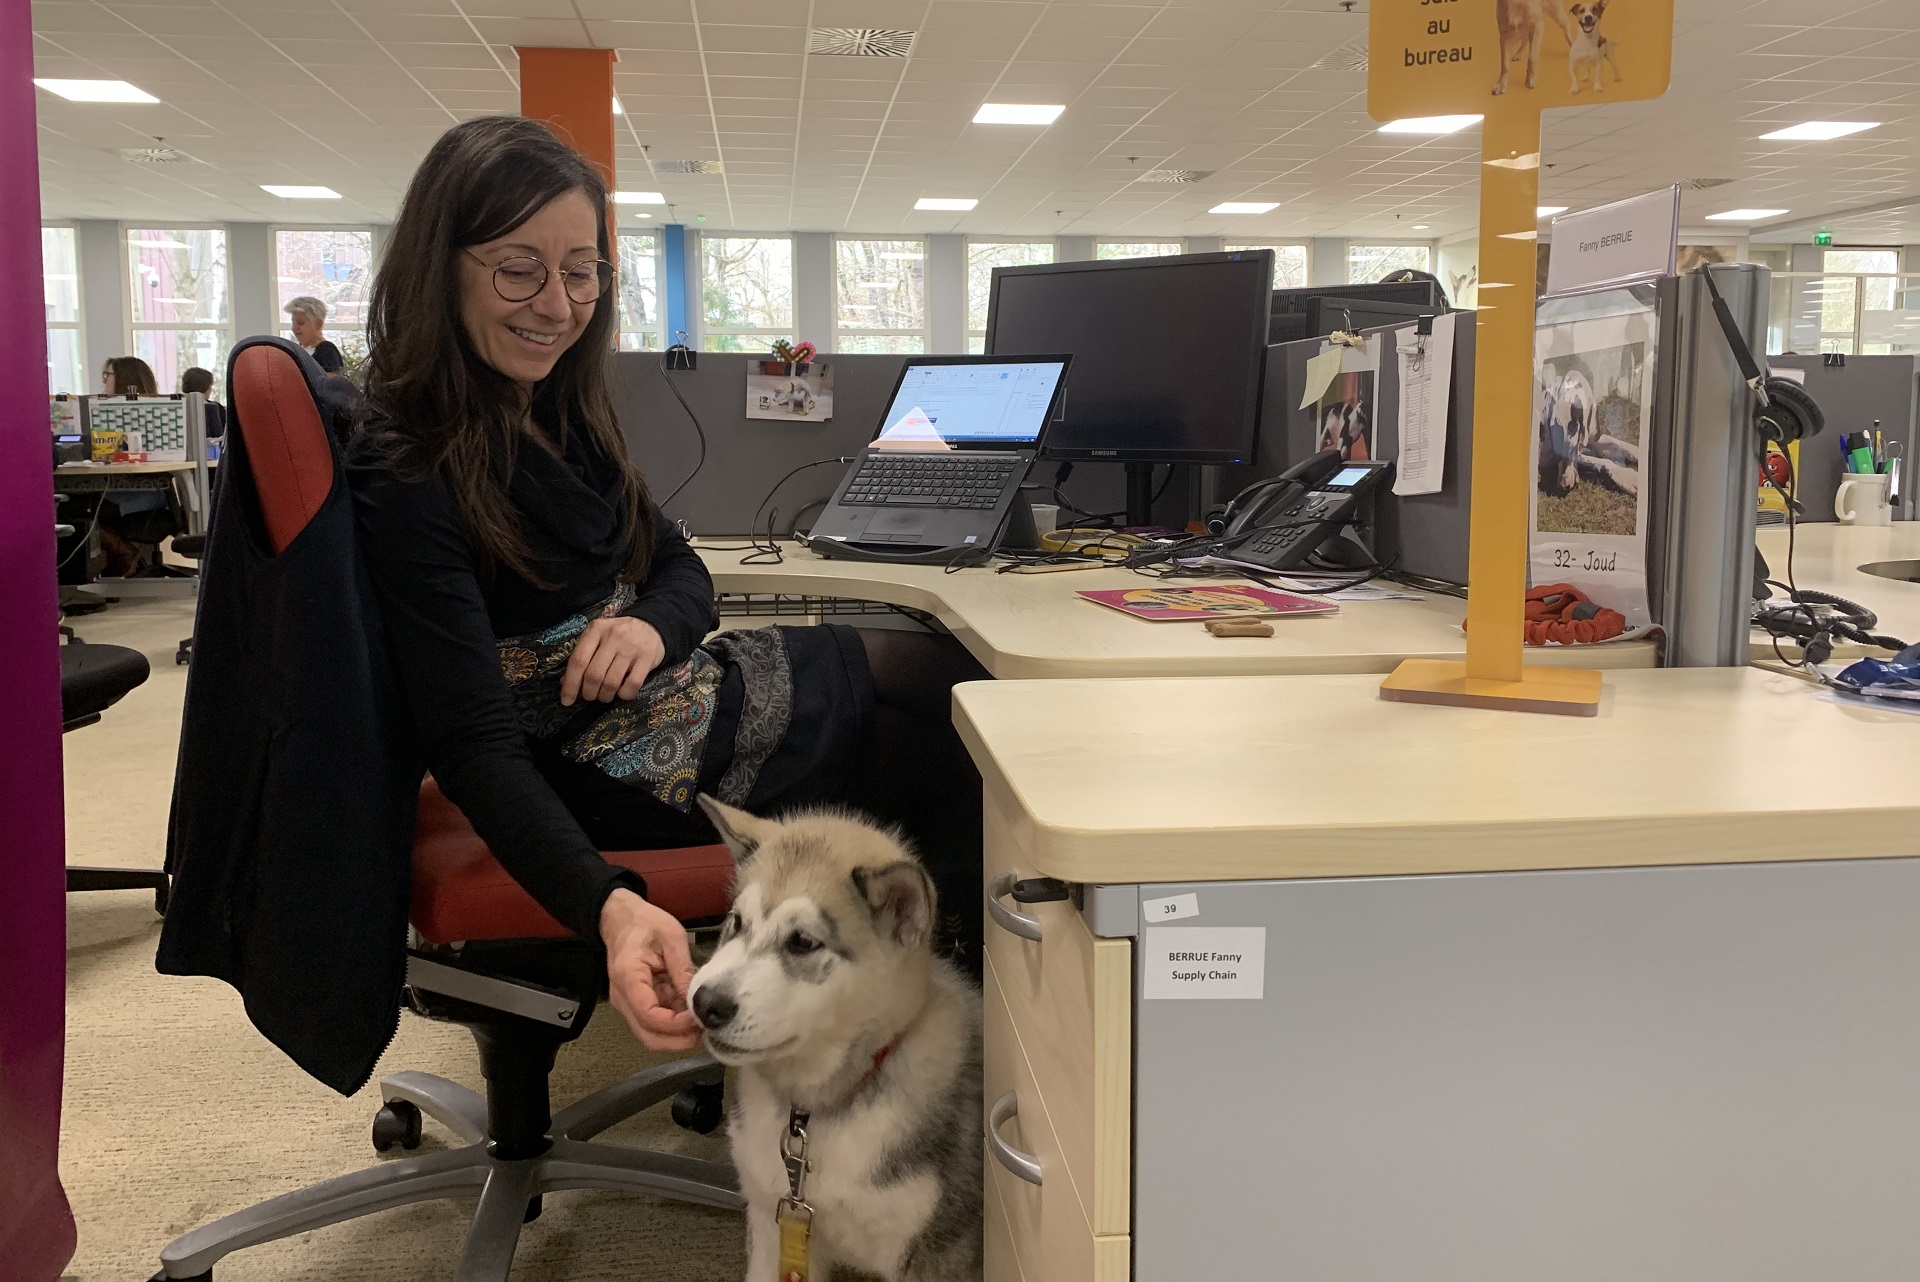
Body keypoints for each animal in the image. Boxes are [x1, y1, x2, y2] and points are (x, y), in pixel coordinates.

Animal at [691, 794, 983, 1282]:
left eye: (803, 942)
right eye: (735, 922)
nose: (704, 1003)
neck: (816, 1112)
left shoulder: (933, 1255)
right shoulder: (775, 1227)